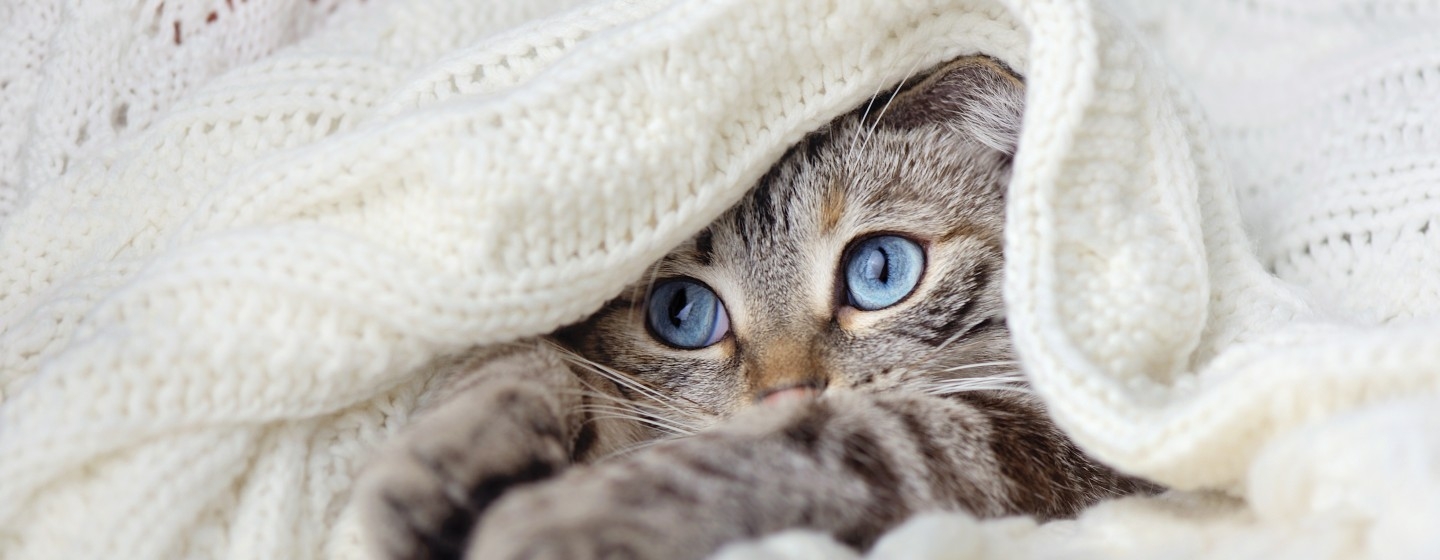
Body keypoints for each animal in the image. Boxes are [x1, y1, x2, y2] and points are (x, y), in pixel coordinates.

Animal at [357, 55, 1157, 558]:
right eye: (682, 312)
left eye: (880, 270)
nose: (787, 392)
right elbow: (527, 357)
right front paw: (442, 463)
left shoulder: (1055, 434)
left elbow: (815, 446)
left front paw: (556, 517)